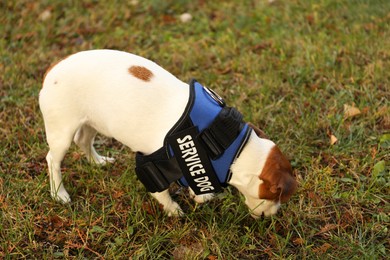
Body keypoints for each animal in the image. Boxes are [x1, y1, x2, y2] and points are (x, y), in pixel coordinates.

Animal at [38, 48, 296, 217]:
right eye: (276, 198)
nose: (273, 216)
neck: (229, 147)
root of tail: (52, 68)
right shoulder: (154, 165)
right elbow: (162, 193)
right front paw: (174, 210)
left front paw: (200, 195)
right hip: (61, 132)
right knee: (53, 160)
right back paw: (59, 193)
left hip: (93, 122)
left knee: (84, 140)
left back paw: (98, 161)